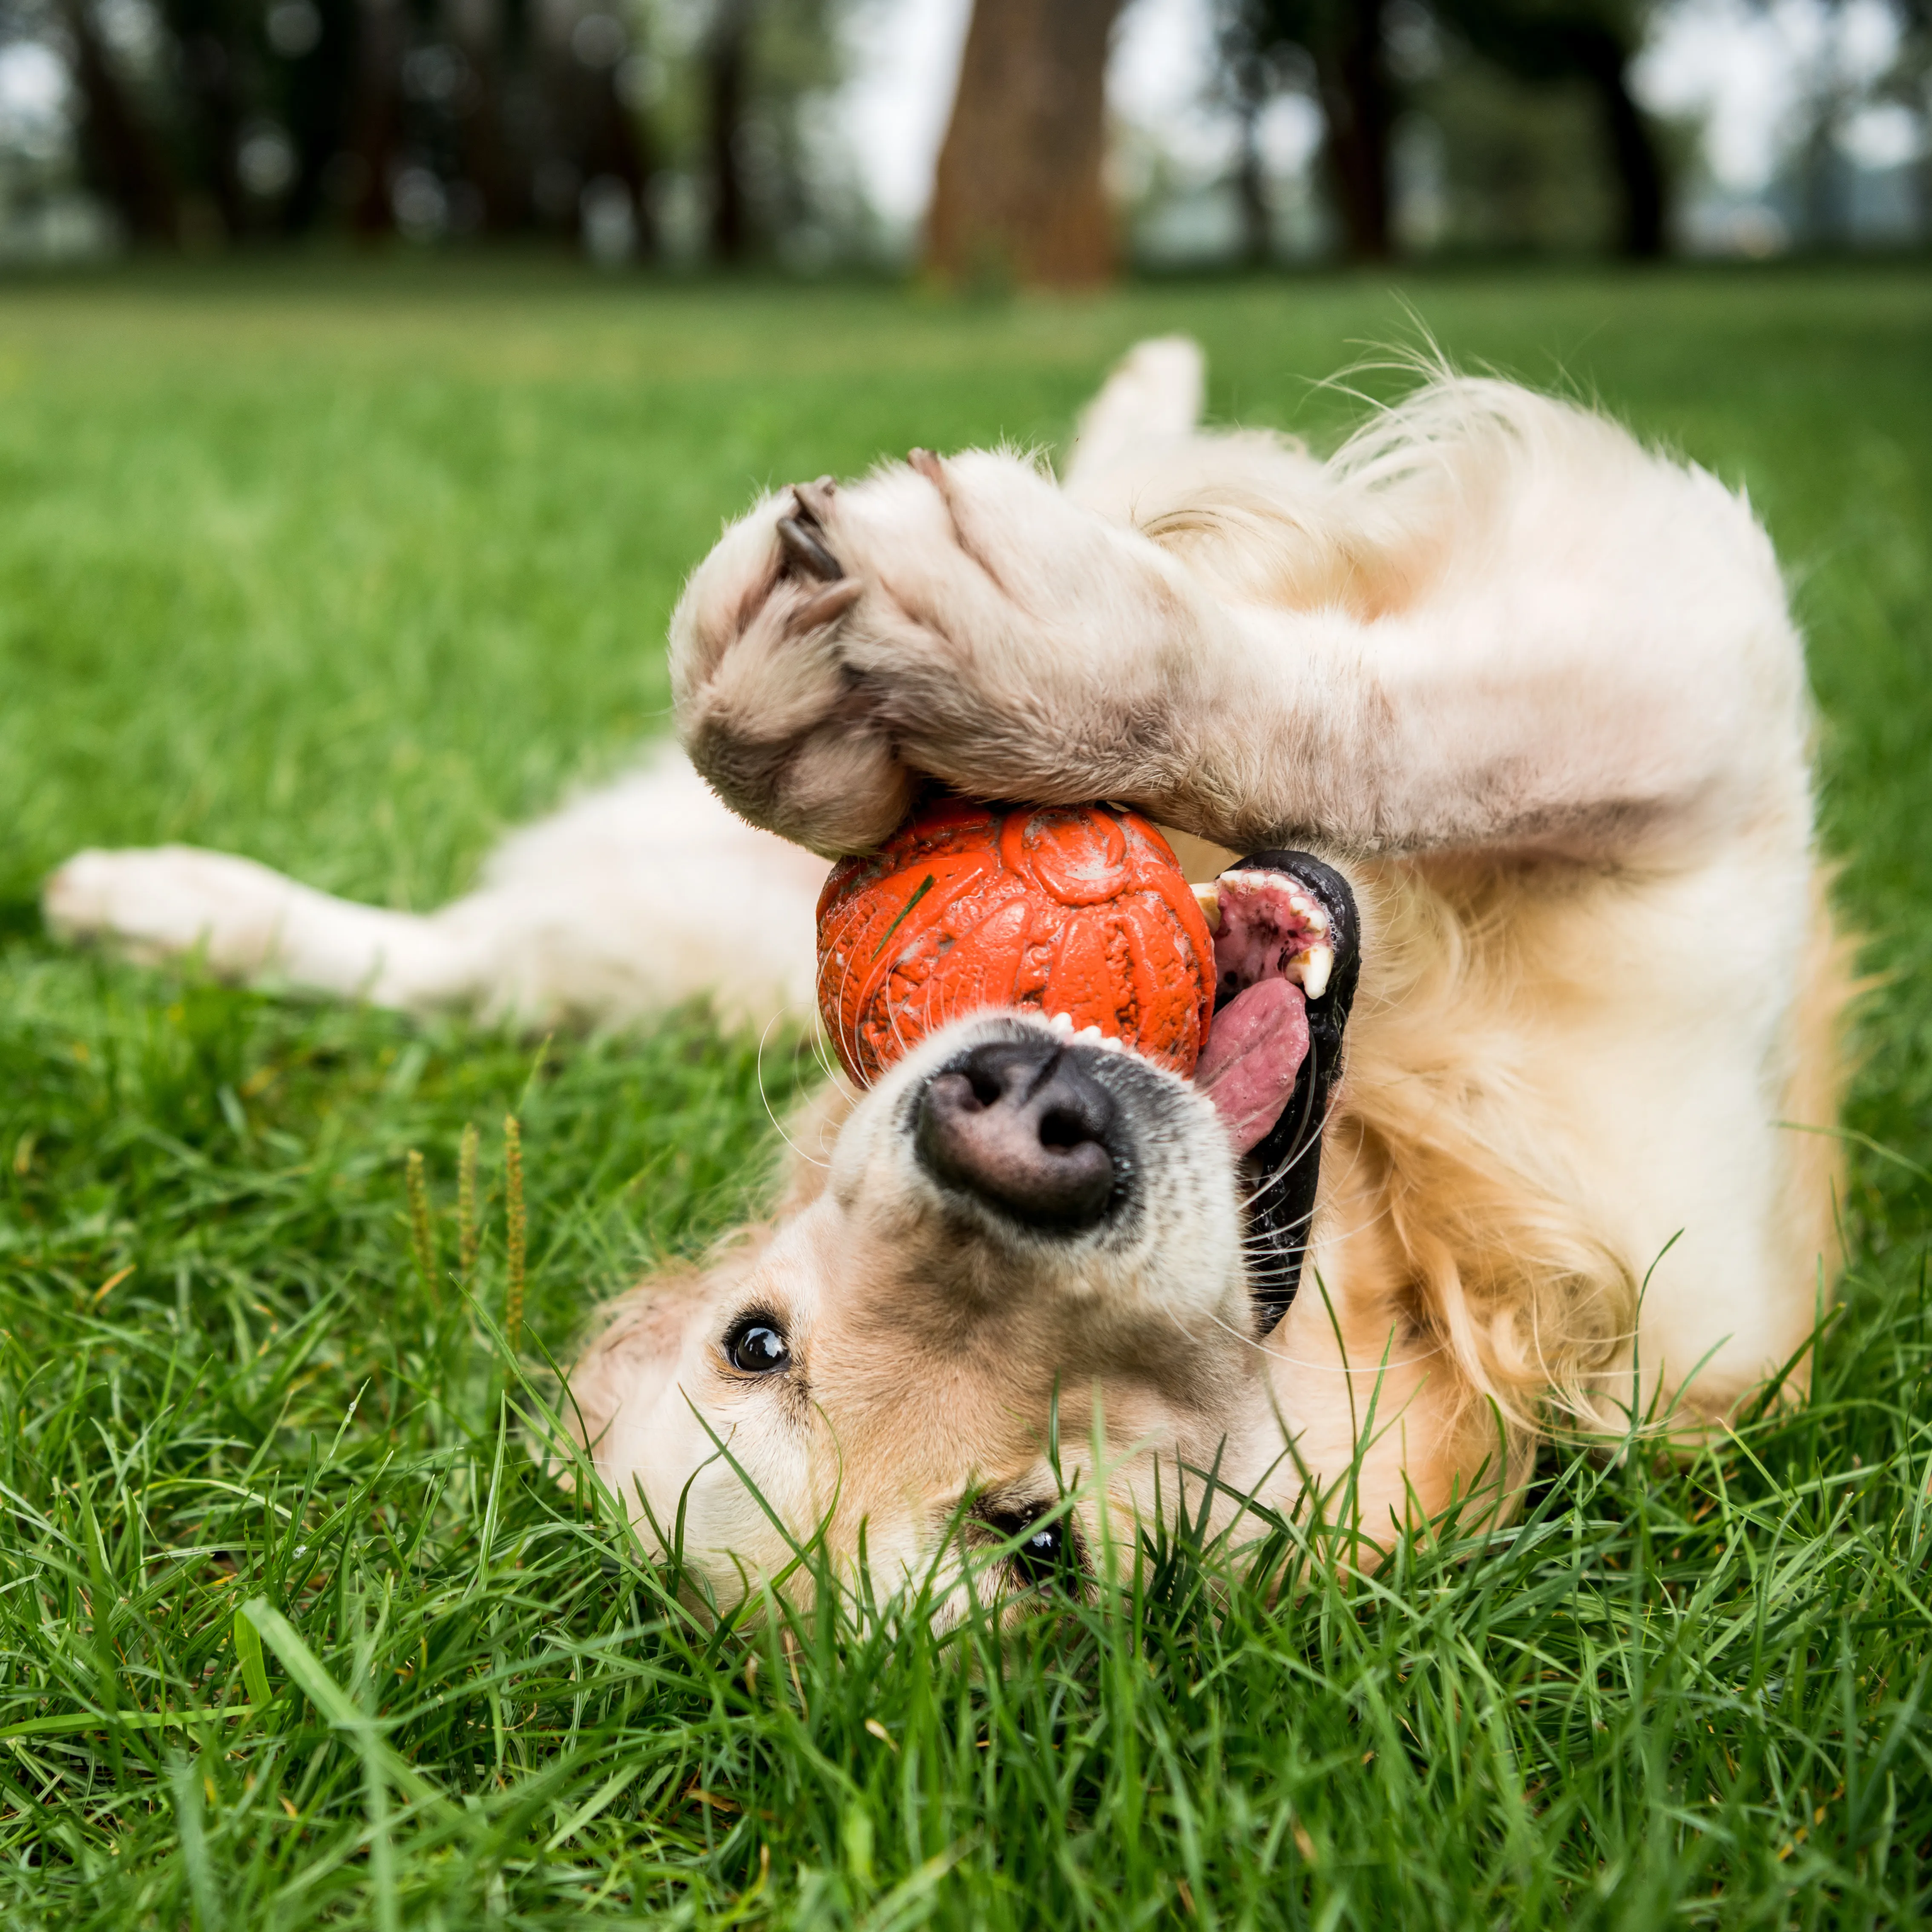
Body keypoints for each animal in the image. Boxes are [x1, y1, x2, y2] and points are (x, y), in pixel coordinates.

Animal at [45, 344, 1847, 1599]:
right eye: (762, 1340)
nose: (1016, 1121)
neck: (1394, 1198)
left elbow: (1396, 720)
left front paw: (994, 660)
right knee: (463, 962)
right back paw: (150, 903)